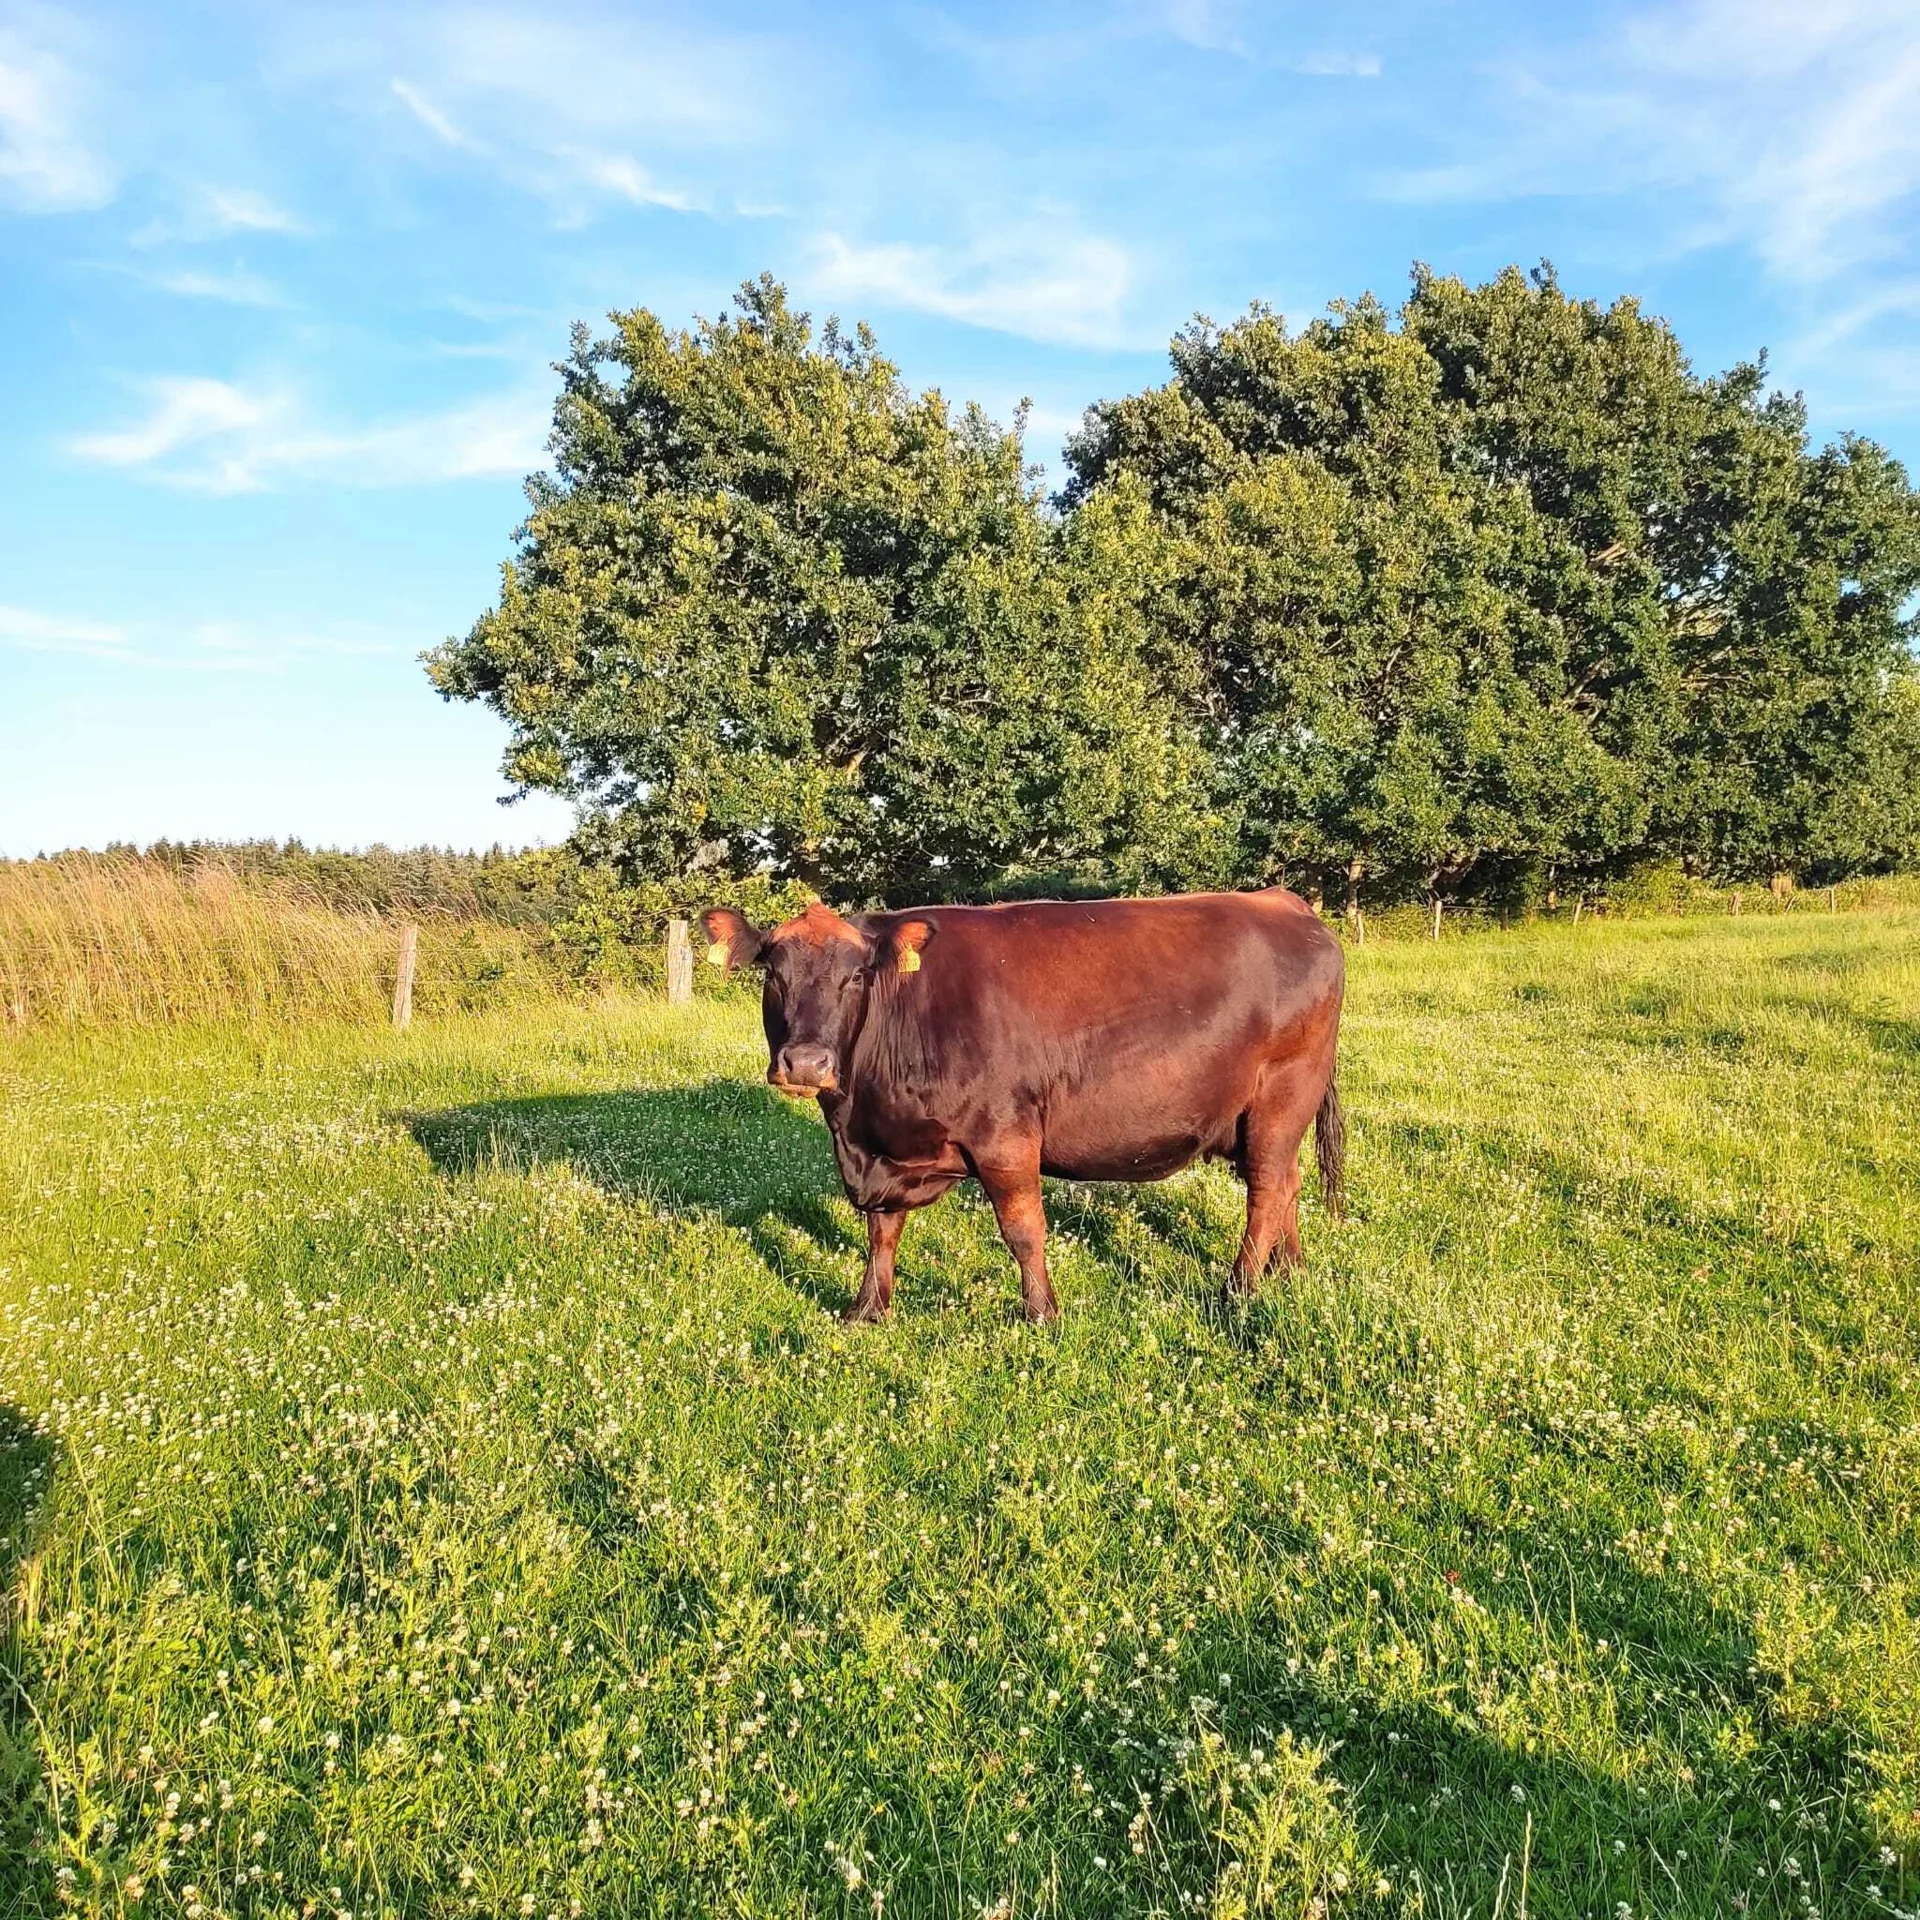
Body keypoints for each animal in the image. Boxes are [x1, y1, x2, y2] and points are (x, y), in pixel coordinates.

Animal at [699, 889, 1345, 1323]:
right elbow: (882, 1230)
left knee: (1267, 1190)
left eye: (856, 976)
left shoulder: (1005, 1136)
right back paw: (1288, 1273)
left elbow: (1023, 1229)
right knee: (1286, 1183)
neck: (861, 1124)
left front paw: (1041, 1313)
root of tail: (1284, 902)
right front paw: (867, 1309)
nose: (807, 1063)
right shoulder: (884, 1153)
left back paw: (1238, 1292)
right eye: (773, 972)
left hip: (1281, 1096)